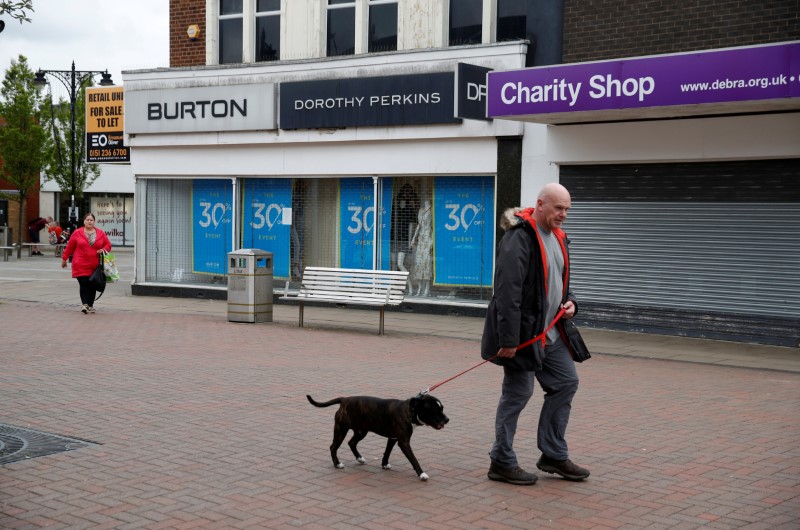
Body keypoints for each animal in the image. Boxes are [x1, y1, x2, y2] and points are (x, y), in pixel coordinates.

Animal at [306, 392, 446, 478]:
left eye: (442, 408)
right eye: (434, 410)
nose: (447, 419)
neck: (409, 411)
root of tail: (345, 399)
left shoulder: (393, 438)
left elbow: (387, 452)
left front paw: (384, 464)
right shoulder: (404, 442)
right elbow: (413, 459)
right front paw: (421, 474)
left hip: (361, 431)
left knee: (351, 443)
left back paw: (359, 458)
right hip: (341, 430)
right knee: (333, 447)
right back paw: (337, 464)